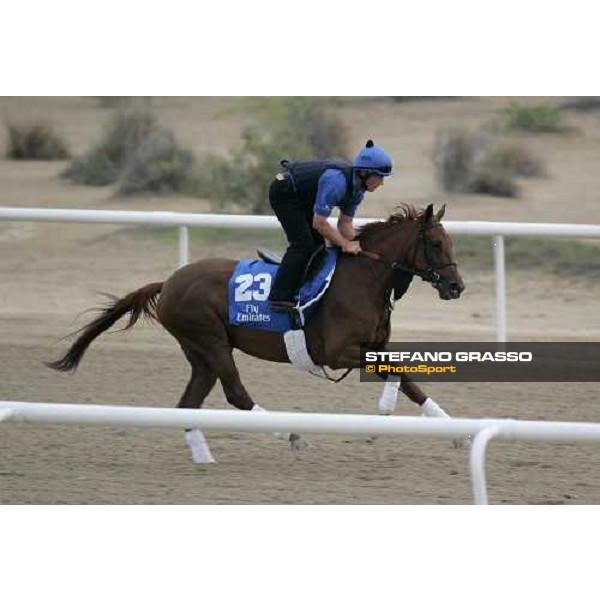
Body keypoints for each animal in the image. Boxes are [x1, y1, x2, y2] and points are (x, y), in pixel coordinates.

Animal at [49, 204, 466, 462]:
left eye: (451, 242)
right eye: (434, 243)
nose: (457, 286)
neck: (363, 279)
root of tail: (167, 282)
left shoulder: (374, 344)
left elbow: (409, 378)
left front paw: (456, 431)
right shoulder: (335, 352)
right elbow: (395, 371)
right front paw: (384, 410)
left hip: (199, 354)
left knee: (188, 403)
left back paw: (204, 458)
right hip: (212, 342)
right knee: (235, 394)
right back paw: (291, 436)